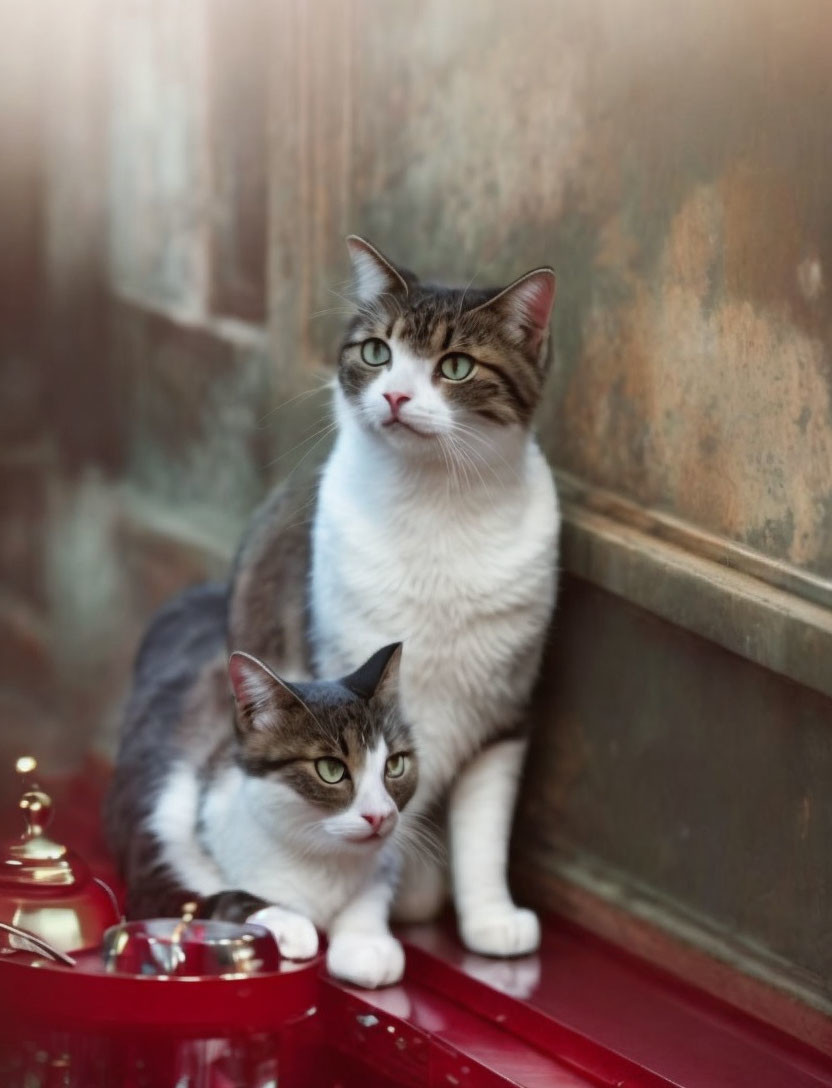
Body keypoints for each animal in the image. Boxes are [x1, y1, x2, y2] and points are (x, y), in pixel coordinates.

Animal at [104, 587, 415, 979]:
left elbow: (372, 892)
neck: (314, 852)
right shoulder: (162, 852)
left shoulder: (381, 861)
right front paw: (287, 922)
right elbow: (208, 899)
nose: (379, 816)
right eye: (331, 769)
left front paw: (367, 944)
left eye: (395, 764)